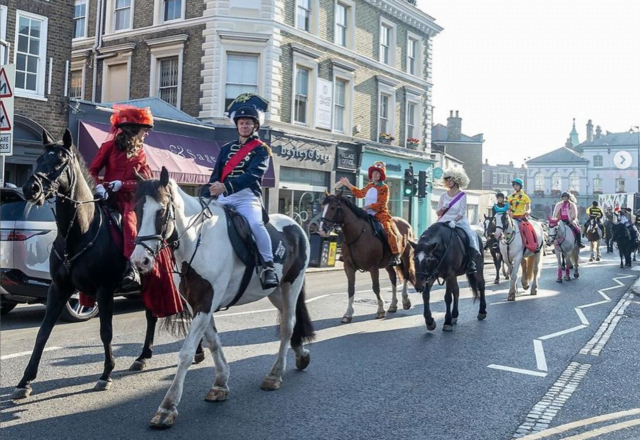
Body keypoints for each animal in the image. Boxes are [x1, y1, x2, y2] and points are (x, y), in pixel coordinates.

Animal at [10, 129, 195, 400]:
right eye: (39, 159)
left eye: (61, 161)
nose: (30, 188)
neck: (78, 233)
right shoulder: (58, 288)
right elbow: (43, 332)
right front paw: (25, 381)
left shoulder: (104, 289)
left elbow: (105, 331)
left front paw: (106, 374)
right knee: (151, 316)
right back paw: (142, 357)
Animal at [132, 168, 316, 430]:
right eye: (136, 209)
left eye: (162, 210)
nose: (140, 261)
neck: (197, 240)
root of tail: (296, 226)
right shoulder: (197, 304)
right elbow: (213, 342)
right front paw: (220, 383)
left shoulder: (207, 301)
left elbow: (187, 353)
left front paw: (167, 407)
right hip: (275, 292)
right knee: (290, 322)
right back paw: (301, 355)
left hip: (292, 285)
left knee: (287, 326)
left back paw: (275, 374)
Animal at [318, 192, 416, 324]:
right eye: (322, 207)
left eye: (333, 208)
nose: (322, 230)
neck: (358, 234)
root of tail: (406, 223)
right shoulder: (349, 267)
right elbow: (351, 289)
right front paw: (348, 314)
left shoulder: (373, 267)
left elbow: (376, 287)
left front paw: (380, 310)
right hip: (388, 263)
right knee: (393, 278)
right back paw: (393, 305)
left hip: (405, 257)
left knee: (405, 275)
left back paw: (405, 301)